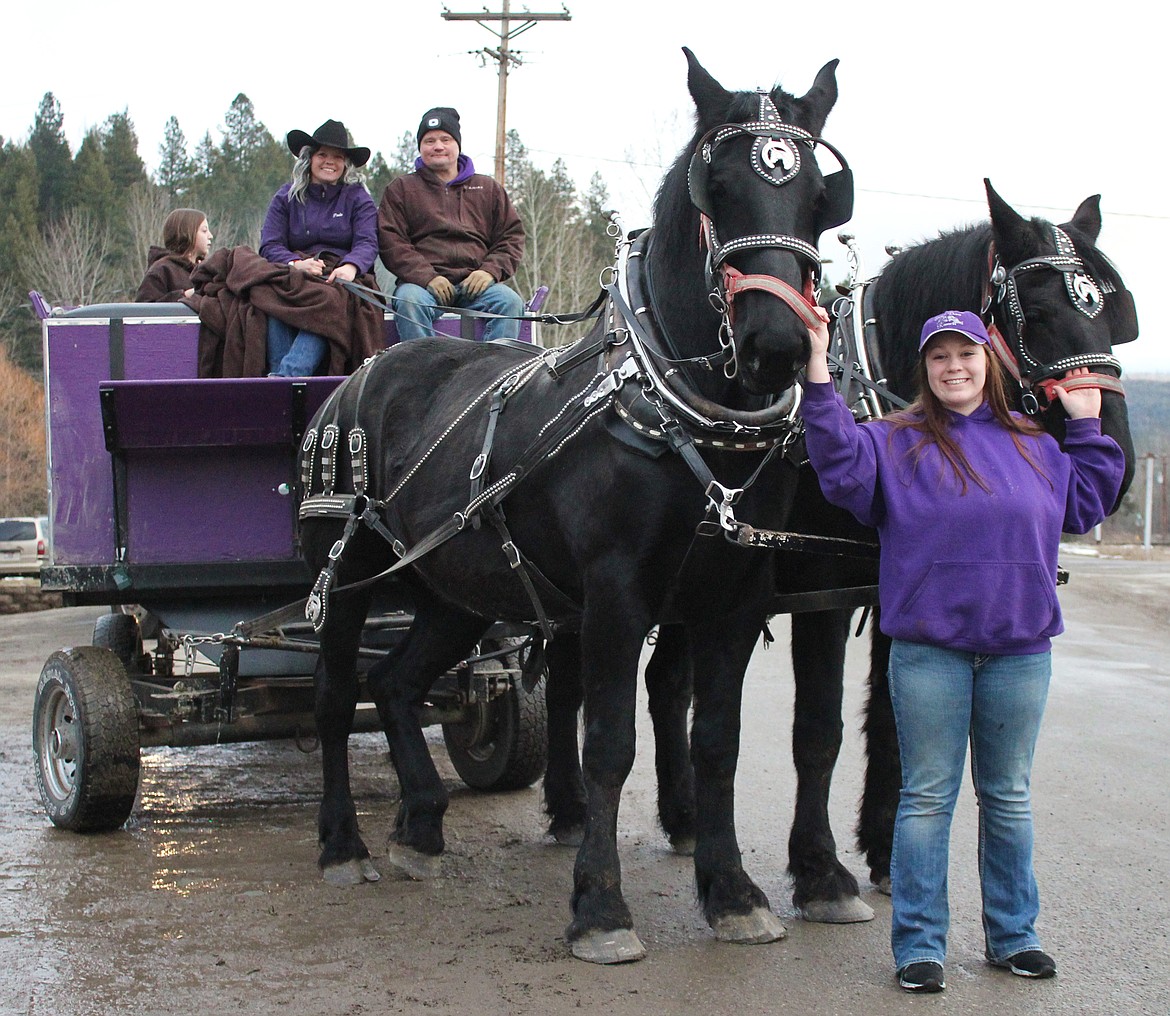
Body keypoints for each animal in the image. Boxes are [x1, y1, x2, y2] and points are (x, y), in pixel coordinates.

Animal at [301, 51, 851, 964]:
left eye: (819, 197)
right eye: (719, 188)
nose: (776, 344)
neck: (678, 415)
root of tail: (359, 377)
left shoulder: (736, 601)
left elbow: (717, 743)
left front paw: (732, 891)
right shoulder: (616, 596)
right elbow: (611, 746)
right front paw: (600, 905)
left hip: (455, 591)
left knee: (399, 682)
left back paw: (420, 824)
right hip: (344, 581)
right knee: (341, 696)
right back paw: (342, 844)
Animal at [542, 179, 1137, 927]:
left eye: (1112, 311)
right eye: (1039, 310)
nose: (1118, 455)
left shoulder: (892, 593)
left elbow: (892, 722)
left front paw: (883, 850)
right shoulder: (821, 593)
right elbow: (820, 729)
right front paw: (820, 869)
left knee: (666, 684)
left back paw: (683, 818)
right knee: (567, 681)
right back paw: (568, 808)